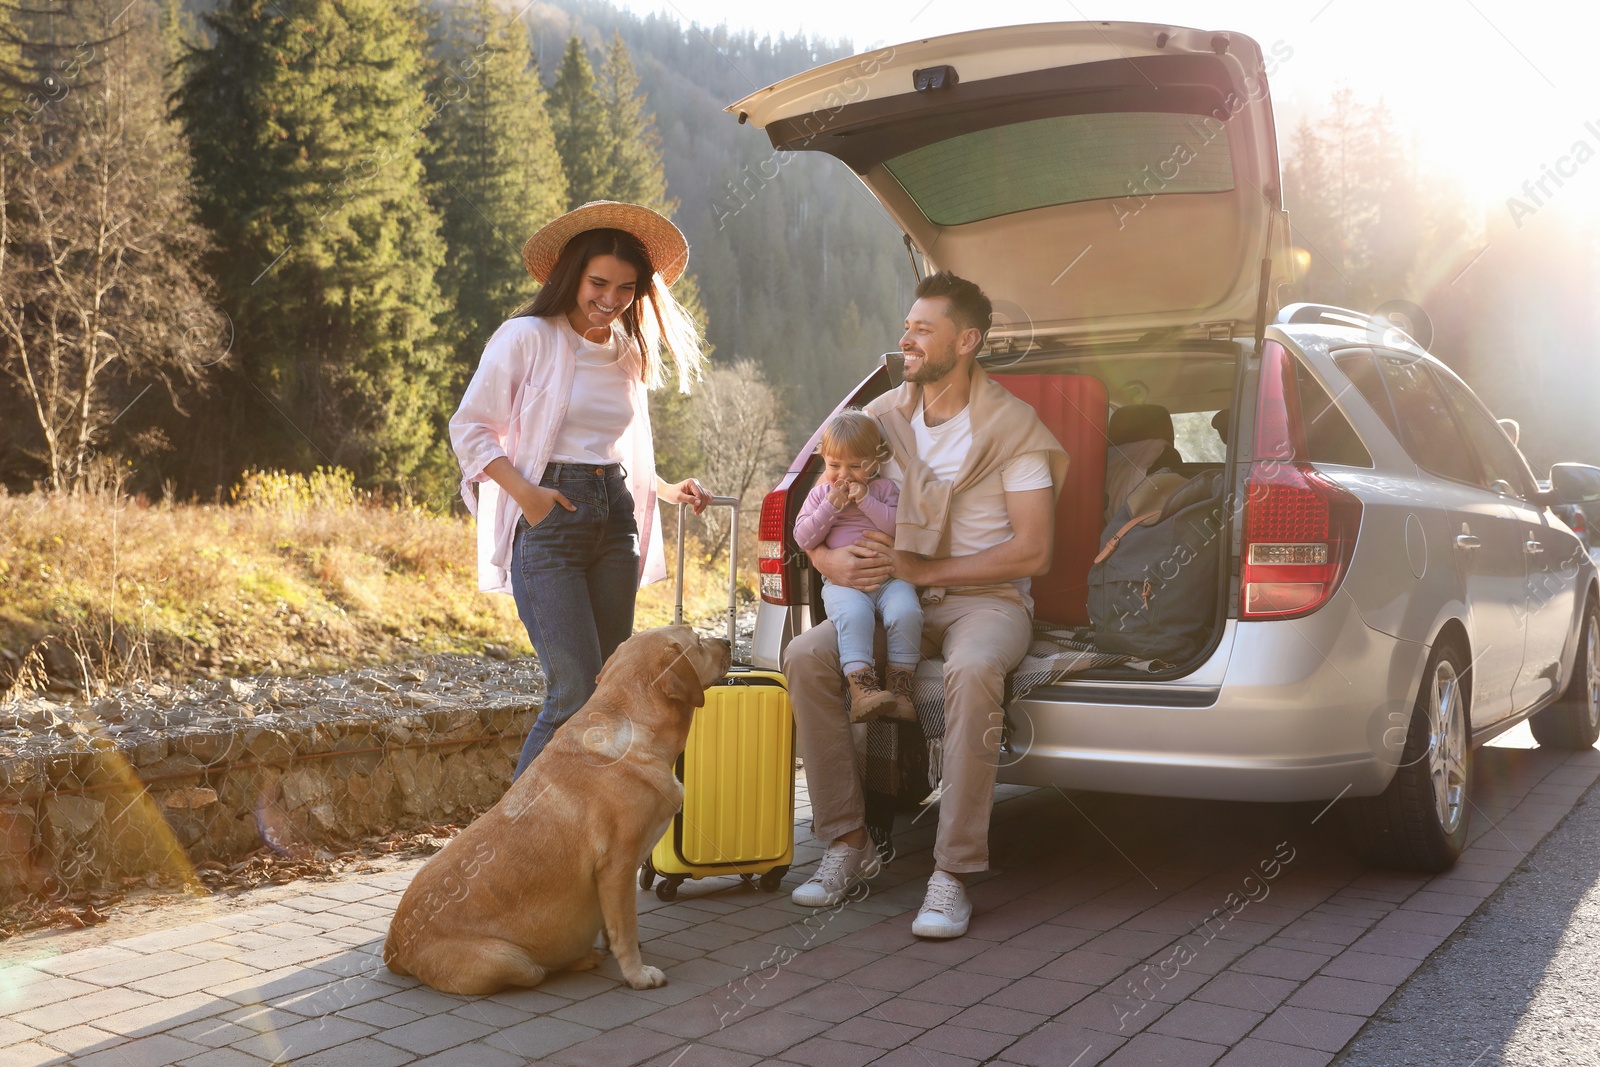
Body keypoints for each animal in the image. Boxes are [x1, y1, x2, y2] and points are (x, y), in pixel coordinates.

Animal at [387, 627, 732, 991]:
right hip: (513, 962)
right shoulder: (617, 866)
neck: (635, 725)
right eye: (698, 640)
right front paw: (637, 974)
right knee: (540, 971)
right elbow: (625, 928)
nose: (728, 642)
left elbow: (613, 925)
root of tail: (393, 948)